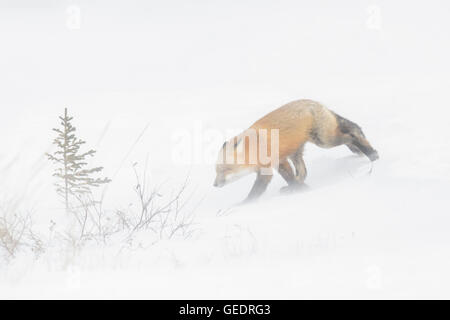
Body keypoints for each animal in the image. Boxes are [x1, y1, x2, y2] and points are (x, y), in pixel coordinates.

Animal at [214, 99, 380, 201]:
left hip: (324, 141)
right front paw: (300, 189)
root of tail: (314, 102)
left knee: (352, 134)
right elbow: (291, 178)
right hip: (297, 152)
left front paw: (243, 205)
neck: (255, 148)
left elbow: (256, 191)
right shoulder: (278, 162)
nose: (214, 185)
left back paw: (371, 153)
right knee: (303, 172)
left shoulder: (270, 167)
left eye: (226, 170)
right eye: (216, 171)